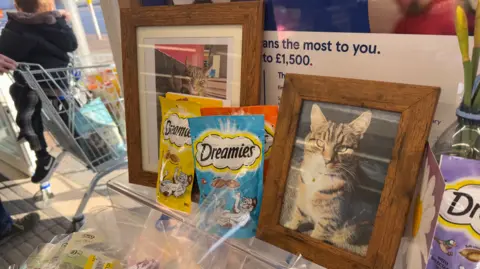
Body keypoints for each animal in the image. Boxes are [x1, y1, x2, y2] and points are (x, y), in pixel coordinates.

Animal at [284, 103, 374, 255]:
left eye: (342, 148)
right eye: (320, 143)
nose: (327, 160)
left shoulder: (329, 219)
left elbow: (316, 236)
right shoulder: (302, 199)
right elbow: (297, 215)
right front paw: (291, 226)